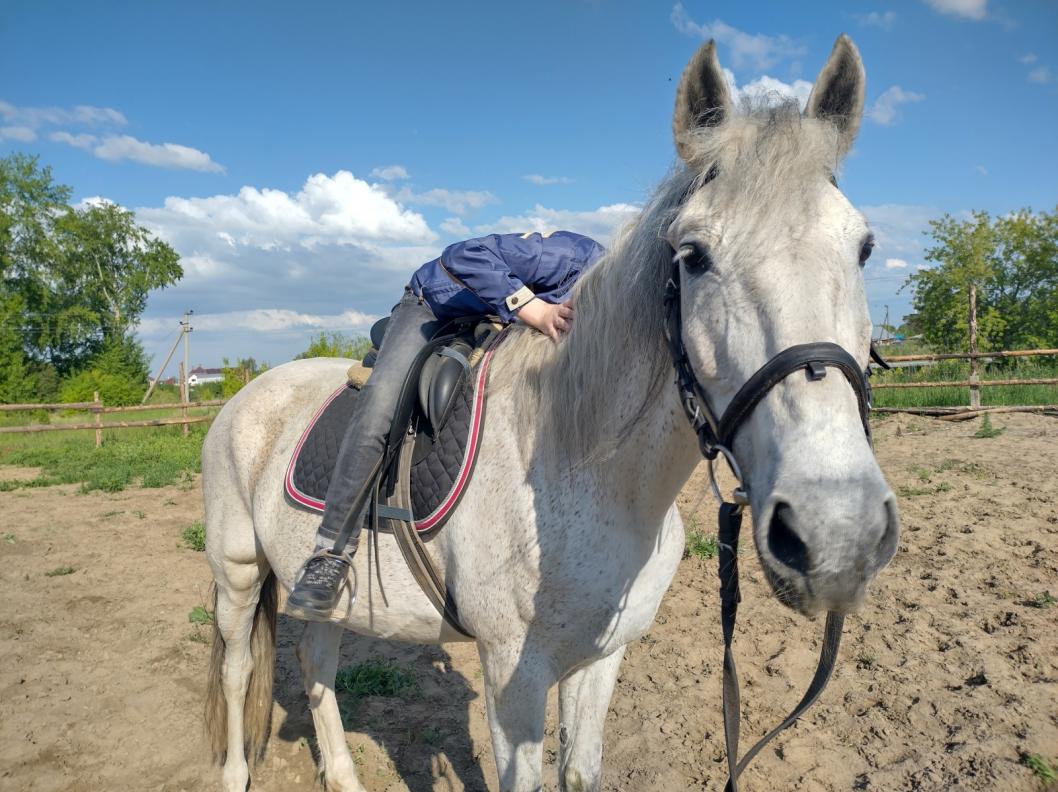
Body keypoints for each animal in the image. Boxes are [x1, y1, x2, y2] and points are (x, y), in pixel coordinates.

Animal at [204, 35, 901, 790]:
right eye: (693, 256)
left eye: (864, 247)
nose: (838, 533)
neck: (582, 469)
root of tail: (242, 396)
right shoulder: (514, 674)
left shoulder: (600, 659)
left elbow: (580, 772)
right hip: (237, 572)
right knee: (241, 669)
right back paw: (237, 773)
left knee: (317, 662)